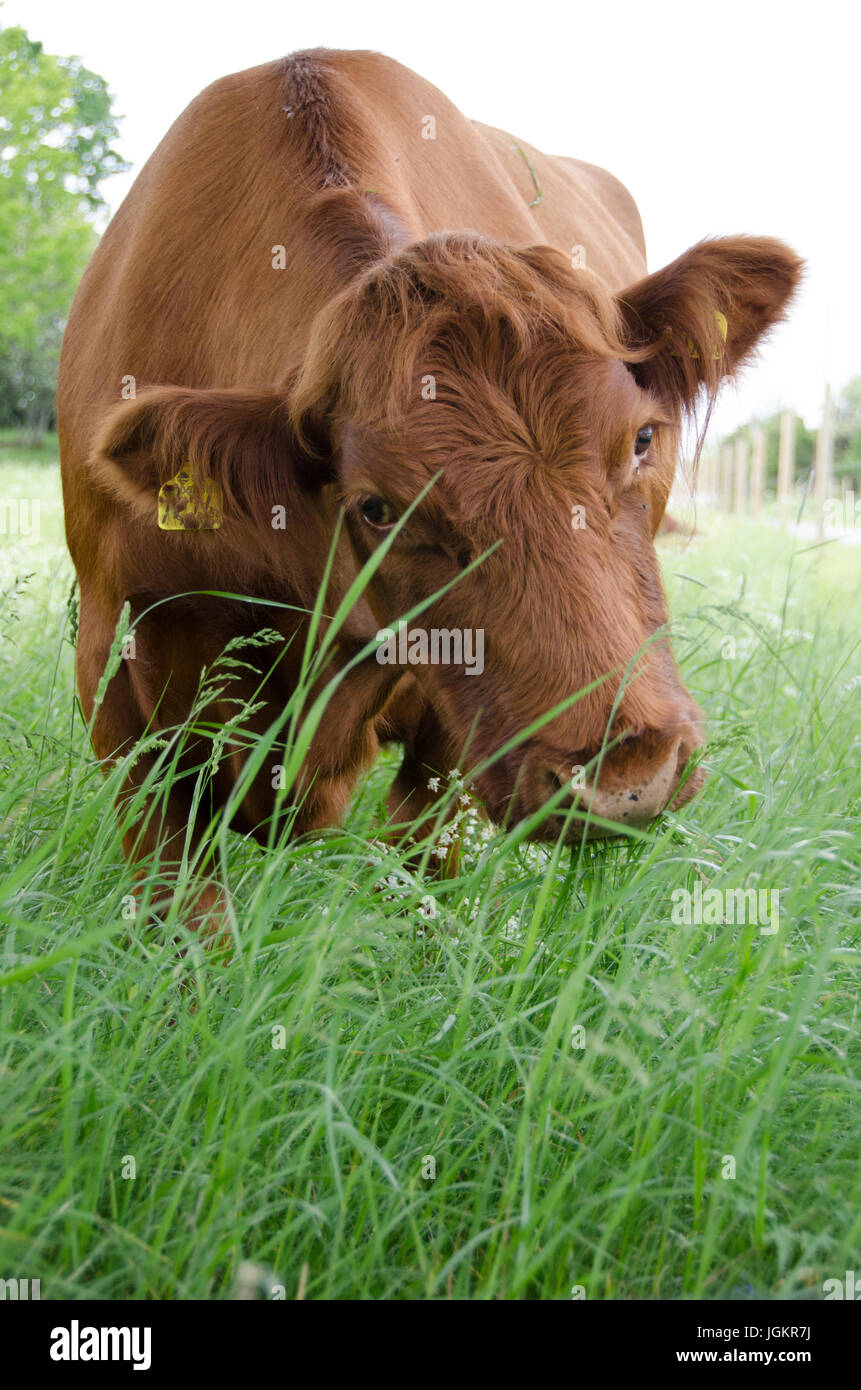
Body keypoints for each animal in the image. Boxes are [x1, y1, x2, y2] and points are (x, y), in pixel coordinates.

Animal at [57, 43, 806, 911]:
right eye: (377, 507)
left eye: (643, 438)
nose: (630, 773)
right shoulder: (115, 678)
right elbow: (185, 910)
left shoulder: (450, 738)